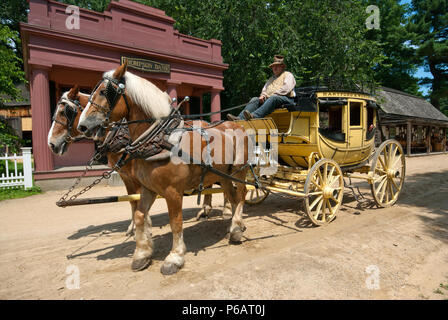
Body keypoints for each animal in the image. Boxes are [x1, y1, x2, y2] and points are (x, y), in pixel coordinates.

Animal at [48, 86, 231, 236]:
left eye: (65, 112)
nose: (51, 144)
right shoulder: (125, 175)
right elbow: (132, 200)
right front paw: (135, 226)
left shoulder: (136, 174)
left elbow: (137, 199)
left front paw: (141, 226)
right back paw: (208, 209)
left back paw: (226, 208)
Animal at [79, 60, 250, 276]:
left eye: (103, 92)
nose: (82, 126)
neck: (160, 140)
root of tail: (237, 124)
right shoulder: (148, 188)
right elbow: (140, 216)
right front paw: (142, 254)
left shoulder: (172, 191)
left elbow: (175, 222)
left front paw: (174, 258)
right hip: (224, 175)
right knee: (234, 198)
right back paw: (236, 226)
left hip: (239, 170)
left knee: (242, 194)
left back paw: (235, 229)